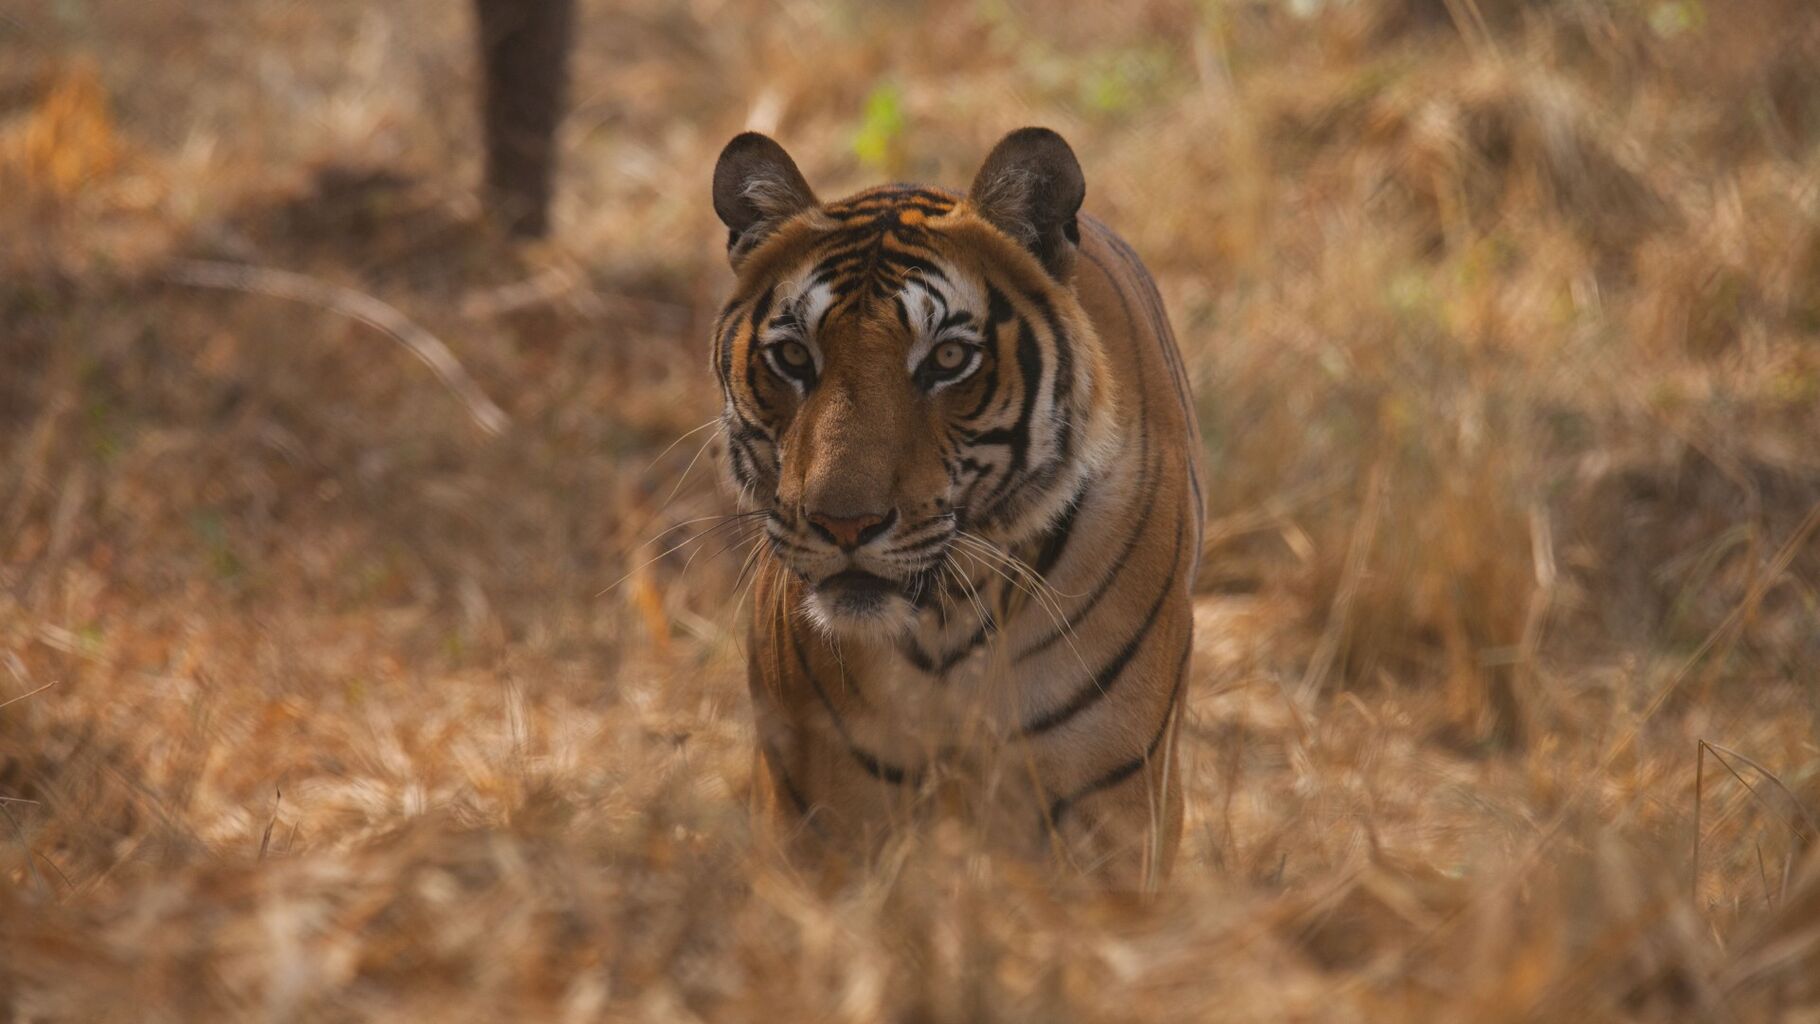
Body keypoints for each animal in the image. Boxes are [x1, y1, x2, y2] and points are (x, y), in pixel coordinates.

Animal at [709, 128, 1204, 888]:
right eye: (793, 356)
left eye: (946, 360)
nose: (843, 524)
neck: (947, 621)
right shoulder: (818, 811)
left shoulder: (1111, 797)